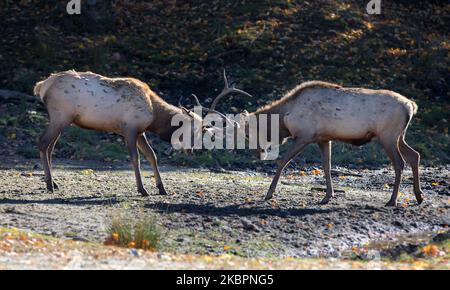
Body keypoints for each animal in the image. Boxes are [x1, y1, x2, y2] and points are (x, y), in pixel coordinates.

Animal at [213, 80, 424, 206]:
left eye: (248, 134)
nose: (258, 153)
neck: (285, 119)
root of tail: (412, 106)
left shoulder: (305, 135)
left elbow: (283, 162)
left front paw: (269, 194)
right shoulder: (323, 138)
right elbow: (326, 166)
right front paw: (327, 196)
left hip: (388, 136)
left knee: (400, 163)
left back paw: (392, 200)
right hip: (399, 136)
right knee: (415, 155)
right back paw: (419, 196)